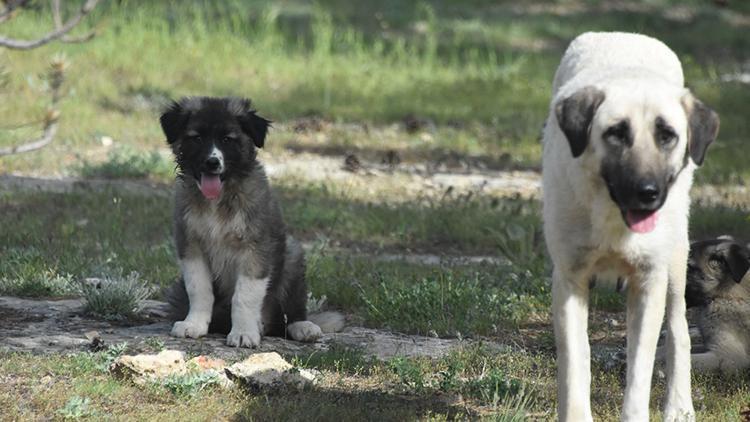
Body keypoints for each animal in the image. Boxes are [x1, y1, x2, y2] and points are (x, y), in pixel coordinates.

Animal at [163, 97, 346, 348]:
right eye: (197, 138)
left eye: (227, 139)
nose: (212, 163)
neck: (219, 199)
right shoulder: (191, 245)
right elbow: (199, 289)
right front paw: (194, 324)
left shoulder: (256, 249)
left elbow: (245, 296)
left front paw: (243, 332)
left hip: (292, 255)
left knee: (289, 313)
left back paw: (302, 326)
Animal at [548, 33, 724, 422]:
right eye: (615, 133)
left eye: (667, 135)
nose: (648, 193)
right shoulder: (569, 279)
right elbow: (575, 362)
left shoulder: (648, 282)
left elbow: (640, 370)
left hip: (675, 262)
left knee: (677, 331)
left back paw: (678, 406)